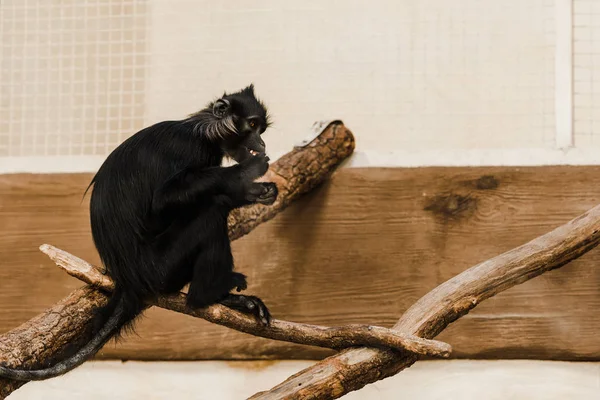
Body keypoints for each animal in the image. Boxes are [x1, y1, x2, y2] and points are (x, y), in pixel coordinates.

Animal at [0, 84, 276, 382]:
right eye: (252, 126)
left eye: (261, 129)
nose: (262, 144)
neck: (202, 131)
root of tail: (129, 279)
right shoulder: (190, 149)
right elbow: (164, 201)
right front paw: (248, 174)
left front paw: (256, 191)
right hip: (160, 268)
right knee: (211, 210)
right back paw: (208, 294)